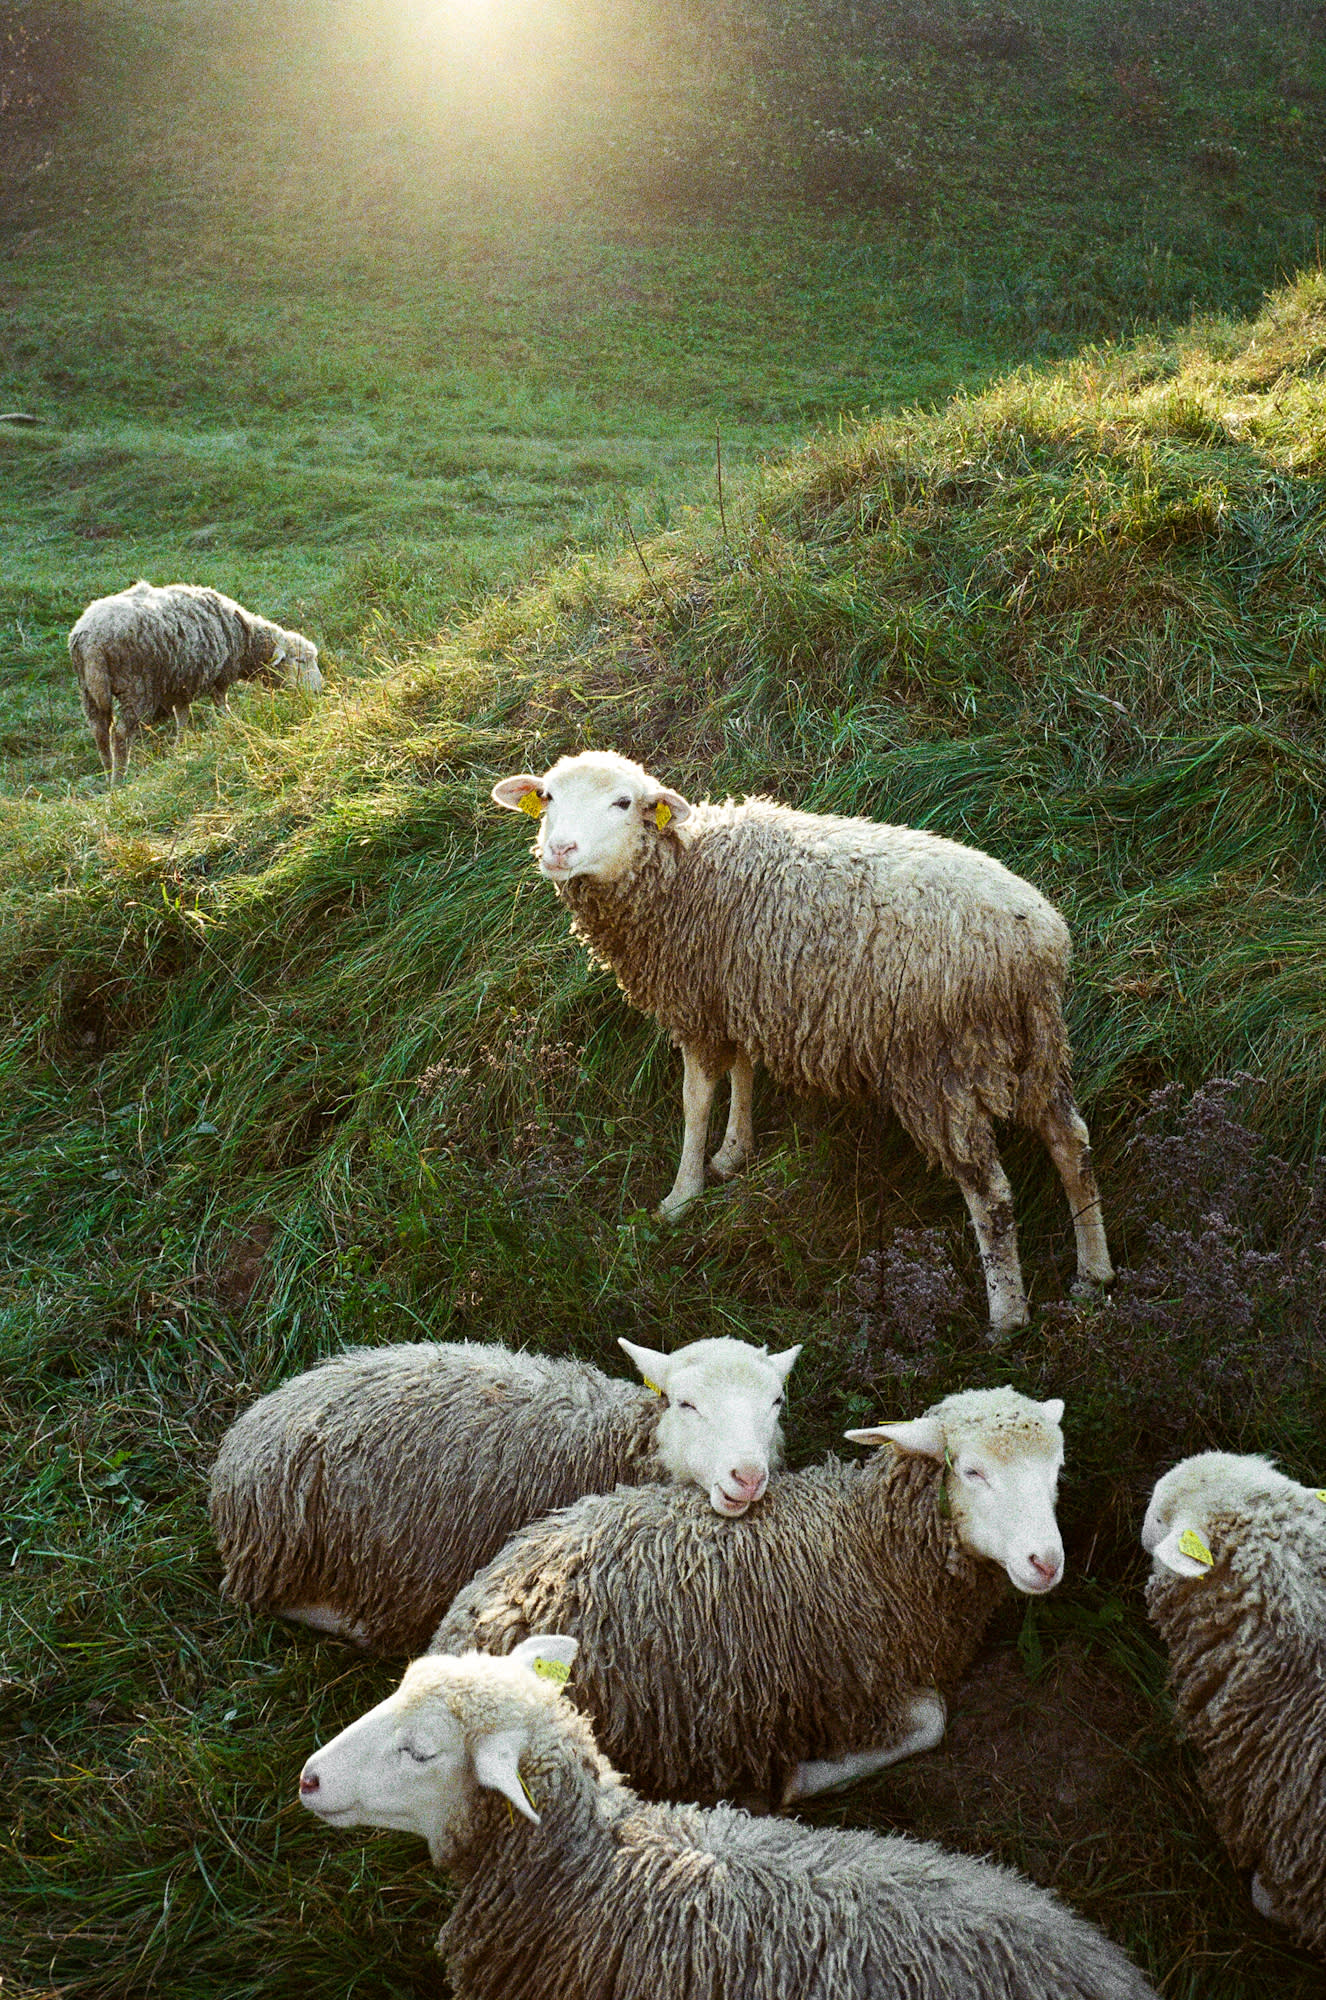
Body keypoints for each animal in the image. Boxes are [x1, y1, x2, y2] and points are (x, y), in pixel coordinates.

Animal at [69, 578, 323, 782]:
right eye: (300, 660)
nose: (320, 690)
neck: (246, 639)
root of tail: (91, 640)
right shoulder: (220, 676)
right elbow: (221, 706)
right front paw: (233, 725)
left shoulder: (180, 684)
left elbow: (183, 717)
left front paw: (181, 747)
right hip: (136, 687)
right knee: (120, 734)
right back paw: (119, 779)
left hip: (88, 691)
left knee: (100, 733)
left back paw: (107, 773)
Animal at [431, 1384, 1066, 1806]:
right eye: (973, 1471)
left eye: (1056, 1469)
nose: (1047, 1562)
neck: (869, 1543)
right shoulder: (847, 1680)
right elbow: (932, 1720)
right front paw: (798, 1779)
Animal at [491, 750, 1112, 1335]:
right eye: (547, 798)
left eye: (623, 803)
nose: (559, 850)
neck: (685, 867)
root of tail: (1036, 945)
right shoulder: (738, 994)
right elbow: (742, 1071)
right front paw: (732, 1154)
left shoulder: (697, 1005)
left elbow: (696, 1100)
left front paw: (681, 1197)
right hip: (1038, 1048)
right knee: (1073, 1146)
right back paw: (1093, 1274)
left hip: (940, 1067)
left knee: (992, 1193)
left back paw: (1007, 1318)